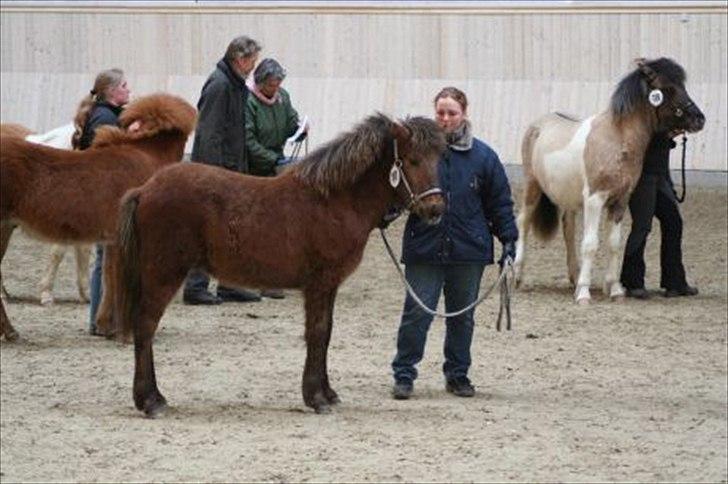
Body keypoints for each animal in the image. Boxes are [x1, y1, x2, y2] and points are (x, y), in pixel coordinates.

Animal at [116, 113, 446, 416]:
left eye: (438, 160)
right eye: (412, 160)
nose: (435, 209)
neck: (334, 201)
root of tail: (145, 189)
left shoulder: (331, 286)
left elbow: (327, 333)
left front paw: (327, 393)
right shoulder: (318, 284)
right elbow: (317, 333)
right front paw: (315, 398)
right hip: (164, 274)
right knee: (145, 326)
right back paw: (151, 400)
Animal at [512, 58, 704, 304]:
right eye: (669, 88)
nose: (699, 119)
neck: (616, 140)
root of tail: (538, 124)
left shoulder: (620, 200)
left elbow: (614, 244)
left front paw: (615, 290)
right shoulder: (595, 199)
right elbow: (591, 244)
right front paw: (584, 294)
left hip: (568, 196)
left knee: (568, 227)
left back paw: (574, 276)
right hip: (532, 186)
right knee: (523, 222)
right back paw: (518, 277)